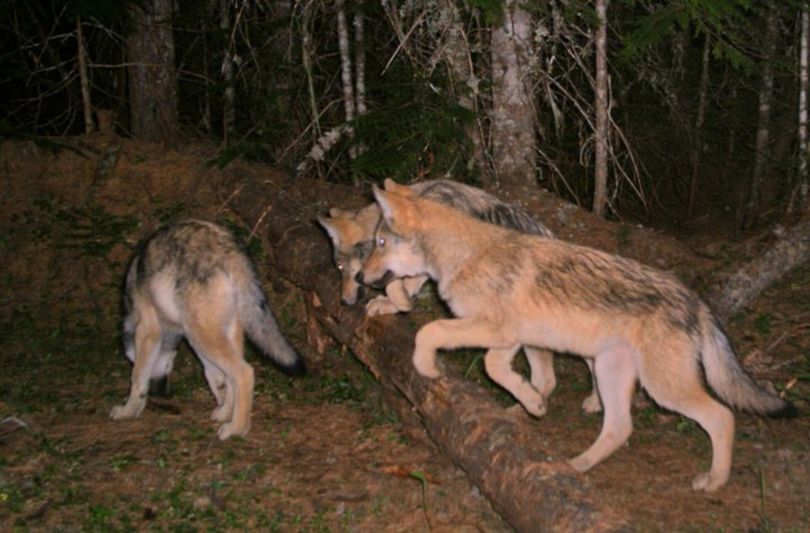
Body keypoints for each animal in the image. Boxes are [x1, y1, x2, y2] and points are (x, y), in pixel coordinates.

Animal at [109, 218, 304, 438]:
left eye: (133, 360)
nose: (161, 393)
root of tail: (229, 250)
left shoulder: (148, 332)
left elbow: (137, 377)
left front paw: (128, 410)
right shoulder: (187, 337)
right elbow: (214, 376)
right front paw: (223, 409)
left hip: (203, 335)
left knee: (244, 373)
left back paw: (236, 429)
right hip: (215, 333)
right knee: (231, 376)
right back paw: (228, 415)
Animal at [316, 179, 600, 412]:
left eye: (341, 268)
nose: (343, 302)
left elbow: (396, 284)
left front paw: (396, 301)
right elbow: (402, 282)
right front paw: (394, 304)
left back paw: (593, 403)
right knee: (546, 379)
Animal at [358, 181, 788, 492]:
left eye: (379, 243)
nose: (360, 277)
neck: (464, 256)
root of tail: (696, 301)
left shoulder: (498, 330)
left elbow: (433, 333)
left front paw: (426, 366)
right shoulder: (511, 336)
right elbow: (500, 369)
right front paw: (532, 403)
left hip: (663, 387)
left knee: (722, 416)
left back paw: (714, 481)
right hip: (610, 369)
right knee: (620, 428)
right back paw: (576, 464)